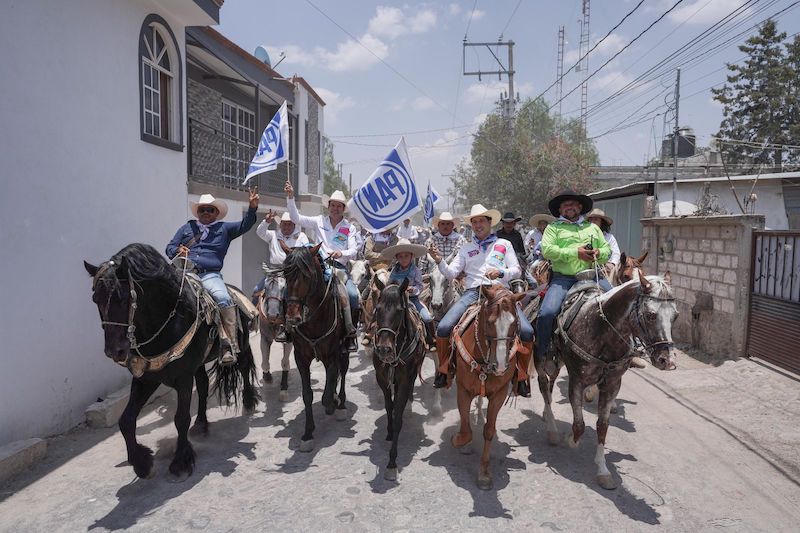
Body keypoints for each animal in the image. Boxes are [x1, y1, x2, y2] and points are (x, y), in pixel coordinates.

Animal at [82, 243, 256, 480]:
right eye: (95, 299)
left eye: (122, 297)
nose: (114, 351)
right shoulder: (146, 378)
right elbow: (126, 420)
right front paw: (141, 463)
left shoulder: (182, 378)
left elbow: (180, 418)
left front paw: (181, 461)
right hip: (198, 365)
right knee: (203, 386)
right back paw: (201, 424)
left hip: (243, 345)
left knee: (245, 368)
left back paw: (248, 402)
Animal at [282, 243, 350, 450]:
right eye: (285, 274)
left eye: (307, 275)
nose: (293, 318)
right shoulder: (301, 358)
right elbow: (308, 395)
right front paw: (307, 434)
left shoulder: (332, 355)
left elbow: (326, 395)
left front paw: (333, 403)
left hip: (344, 350)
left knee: (343, 372)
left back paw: (340, 405)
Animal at [372, 276, 428, 480]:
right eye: (377, 309)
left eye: (398, 310)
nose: (383, 349)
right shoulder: (381, 378)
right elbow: (389, 407)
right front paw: (389, 432)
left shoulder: (405, 380)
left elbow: (397, 415)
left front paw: (391, 462)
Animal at [454, 284, 528, 488]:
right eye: (488, 322)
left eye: (514, 324)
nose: (500, 366)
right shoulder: (463, 389)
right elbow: (466, 428)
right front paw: (460, 442)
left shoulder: (499, 394)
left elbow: (488, 430)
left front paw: (484, 473)